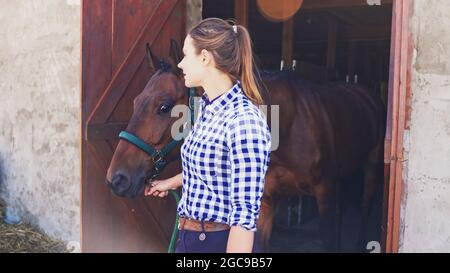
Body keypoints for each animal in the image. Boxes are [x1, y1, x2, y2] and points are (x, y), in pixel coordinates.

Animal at [104, 39, 384, 251]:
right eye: (136, 101)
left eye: (163, 107)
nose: (116, 179)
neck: (290, 124)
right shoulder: (267, 202)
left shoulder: (324, 192)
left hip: (370, 167)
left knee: (366, 203)